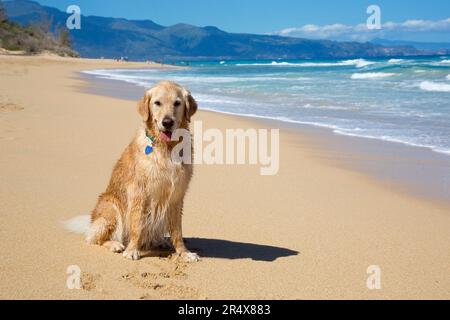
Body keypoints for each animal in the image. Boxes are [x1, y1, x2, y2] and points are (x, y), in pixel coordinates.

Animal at [85, 80, 198, 262]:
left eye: (177, 103)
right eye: (157, 103)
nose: (167, 122)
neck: (166, 148)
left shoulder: (177, 194)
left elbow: (177, 231)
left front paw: (184, 252)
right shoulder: (139, 192)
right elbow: (137, 225)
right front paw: (132, 250)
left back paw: (160, 241)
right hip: (111, 207)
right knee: (95, 238)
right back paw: (116, 244)